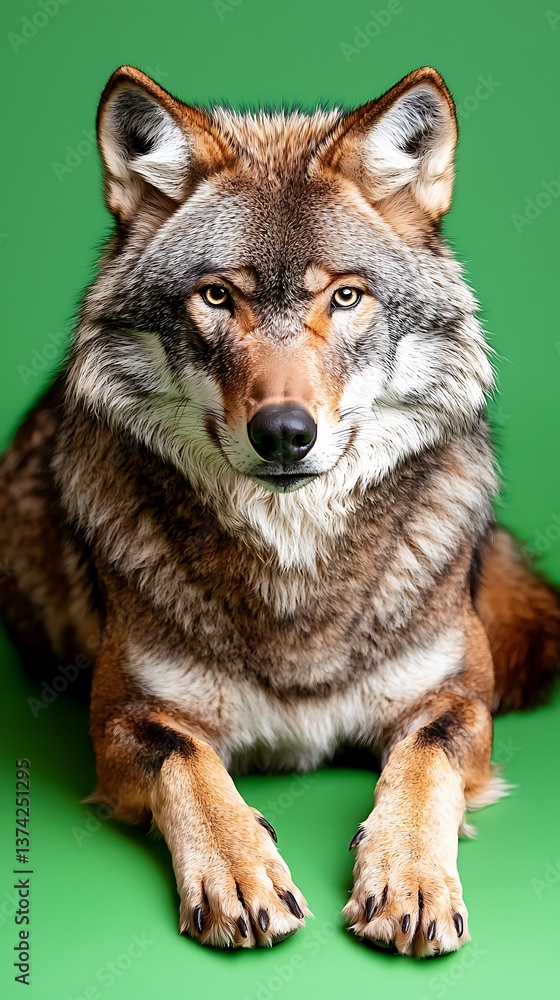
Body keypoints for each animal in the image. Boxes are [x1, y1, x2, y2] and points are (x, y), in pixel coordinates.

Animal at [1, 65, 559, 957]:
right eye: (217, 297)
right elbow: (192, 768)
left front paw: (410, 879)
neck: (298, 581)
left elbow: (422, 764)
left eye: (346, 296)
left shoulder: (461, 701)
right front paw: (239, 873)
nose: (285, 434)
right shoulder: (125, 719)